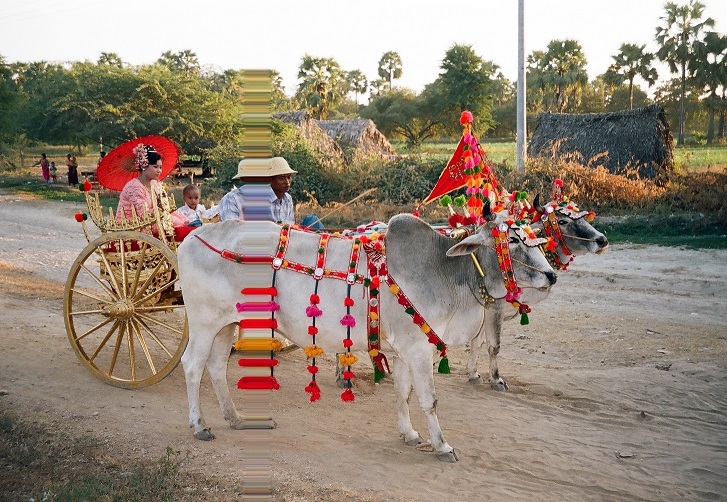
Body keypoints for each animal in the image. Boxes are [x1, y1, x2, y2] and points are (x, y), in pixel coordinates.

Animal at [179, 211, 556, 462]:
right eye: (514, 241)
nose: (551, 275)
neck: (445, 270)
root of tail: (190, 238)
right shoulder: (418, 349)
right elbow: (429, 400)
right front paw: (442, 445)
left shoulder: (403, 352)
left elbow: (403, 394)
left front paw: (409, 434)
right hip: (204, 322)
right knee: (193, 366)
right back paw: (199, 425)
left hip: (227, 325)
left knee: (216, 367)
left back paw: (235, 418)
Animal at [466, 197, 608, 392]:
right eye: (563, 222)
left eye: (584, 218)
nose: (602, 240)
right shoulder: (494, 308)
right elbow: (493, 346)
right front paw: (496, 379)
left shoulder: (485, 310)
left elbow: (477, 342)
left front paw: (473, 373)